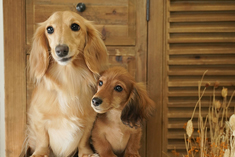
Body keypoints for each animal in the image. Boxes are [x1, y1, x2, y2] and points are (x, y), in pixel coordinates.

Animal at [25, 10, 107, 156]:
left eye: (75, 26)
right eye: (49, 29)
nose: (61, 50)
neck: (68, 79)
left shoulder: (89, 120)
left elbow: (83, 140)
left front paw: (86, 153)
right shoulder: (39, 119)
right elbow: (42, 140)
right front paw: (40, 153)